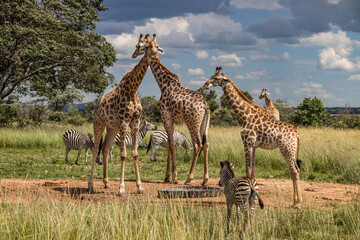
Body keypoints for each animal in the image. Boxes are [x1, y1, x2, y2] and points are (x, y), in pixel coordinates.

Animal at [87, 33, 163, 196]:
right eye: (146, 46)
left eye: (157, 46)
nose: (155, 55)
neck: (132, 89)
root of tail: (97, 104)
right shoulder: (123, 122)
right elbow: (123, 155)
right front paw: (121, 189)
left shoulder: (135, 122)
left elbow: (135, 154)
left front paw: (140, 187)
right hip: (99, 123)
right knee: (96, 149)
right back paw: (90, 186)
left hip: (111, 127)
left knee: (105, 148)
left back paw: (107, 183)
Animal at [135, 34, 210, 184]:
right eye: (148, 46)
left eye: (140, 45)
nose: (134, 54)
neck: (163, 84)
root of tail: (205, 106)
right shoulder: (173, 120)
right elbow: (170, 144)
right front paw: (167, 177)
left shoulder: (166, 117)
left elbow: (171, 145)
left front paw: (173, 177)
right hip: (204, 124)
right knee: (206, 144)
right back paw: (205, 179)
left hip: (192, 122)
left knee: (197, 144)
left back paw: (189, 178)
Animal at [204, 66, 302, 207]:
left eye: (216, 78)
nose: (205, 85)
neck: (244, 115)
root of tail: (297, 134)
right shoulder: (254, 146)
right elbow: (253, 170)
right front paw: (254, 195)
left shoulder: (247, 143)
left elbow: (248, 171)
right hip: (291, 150)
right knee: (295, 170)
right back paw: (295, 201)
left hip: (286, 149)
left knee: (294, 171)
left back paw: (298, 203)